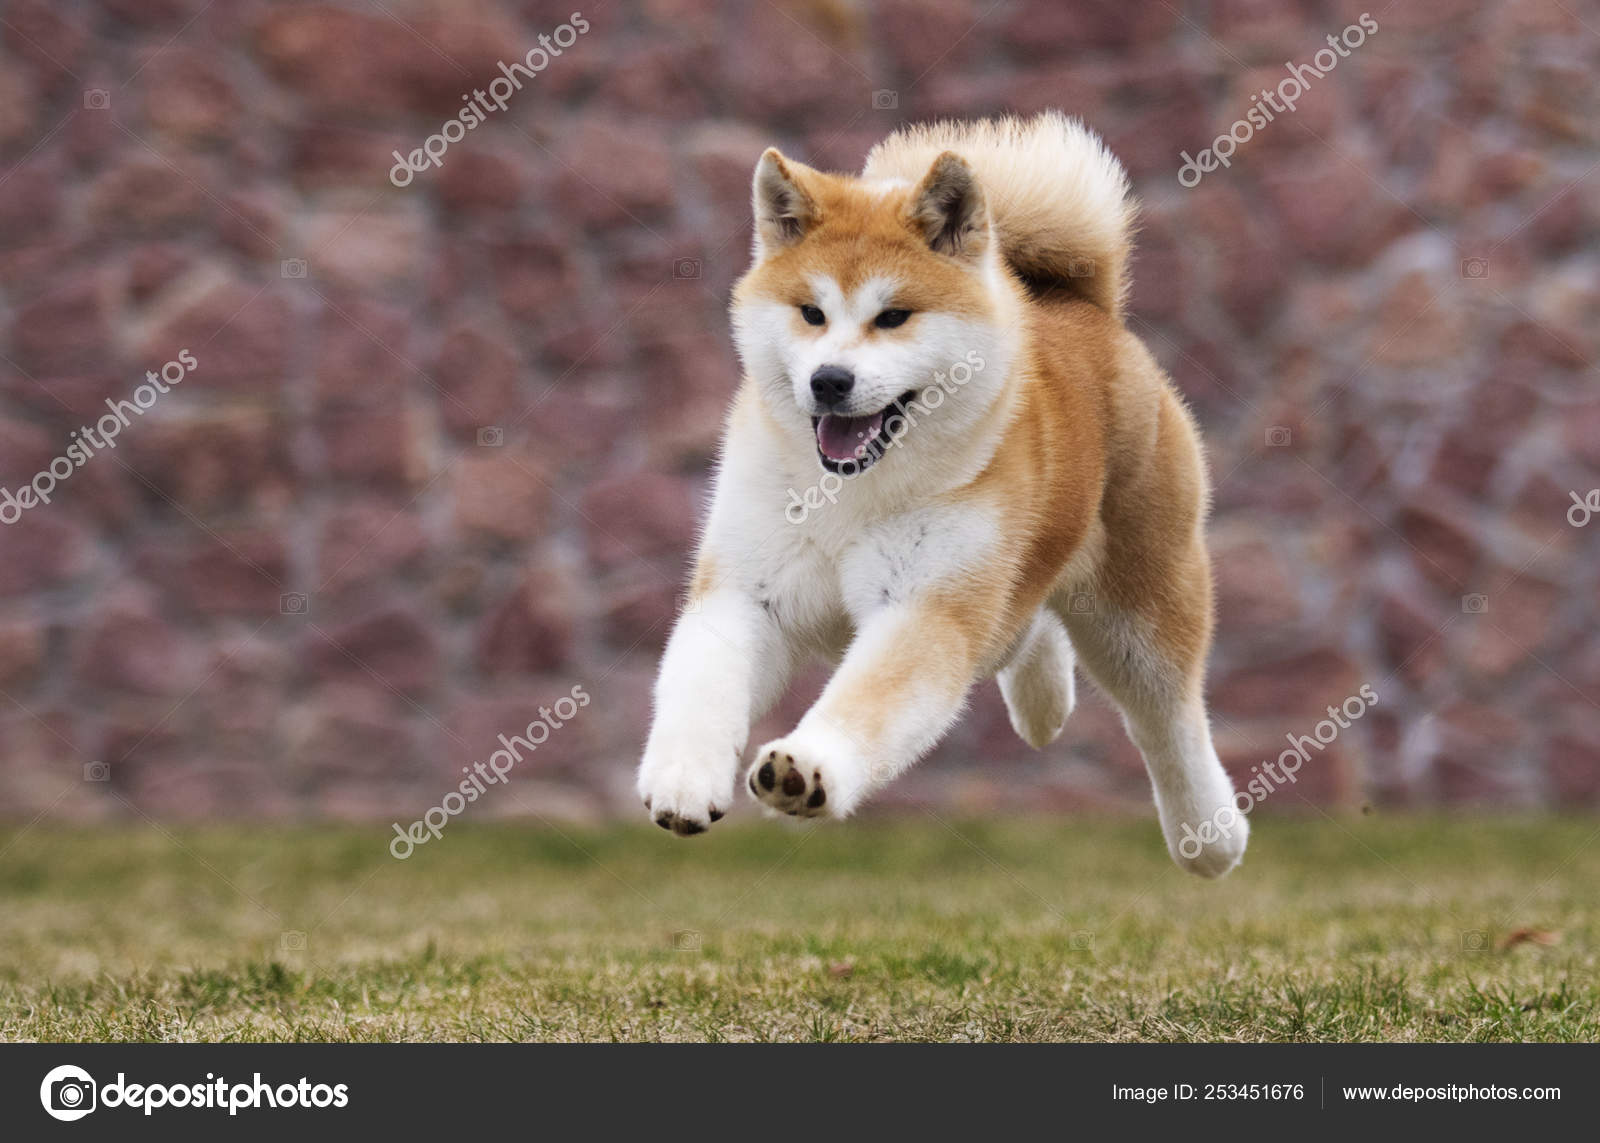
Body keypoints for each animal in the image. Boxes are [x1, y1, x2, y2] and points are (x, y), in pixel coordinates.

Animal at [636, 111, 1248, 870]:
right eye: (811, 312)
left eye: (894, 316)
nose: (829, 380)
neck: (850, 497)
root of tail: (1084, 307)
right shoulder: (748, 588)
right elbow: (702, 684)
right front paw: (682, 780)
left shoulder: (925, 608)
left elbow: (866, 703)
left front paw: (808, 768)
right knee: (1029, 626)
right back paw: (1044, 701)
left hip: (1141, 607)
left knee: (1170, 721)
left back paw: (1210, 837)